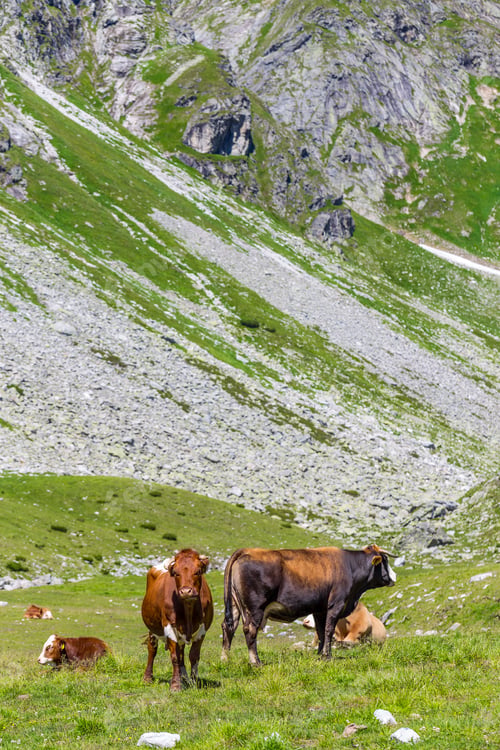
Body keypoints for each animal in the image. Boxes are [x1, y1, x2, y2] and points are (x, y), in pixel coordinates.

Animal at [141, 548, 214, 691]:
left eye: (198, 572)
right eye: (176, 573)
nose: (185, 591)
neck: (188, 607)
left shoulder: (202, 629)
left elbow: (193, 656)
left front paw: (193, 681)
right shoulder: (169, 627)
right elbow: (174, 657)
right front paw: (175, 684)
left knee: (181, 652)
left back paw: (184, 678)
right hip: (152, 628)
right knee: (152, 649)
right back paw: (148, 678)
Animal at [221, 544, 396, 665]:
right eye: (385, 561)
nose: (394, 576)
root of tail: (248, 551)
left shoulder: (319, 609)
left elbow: (320, 631)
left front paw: (319, 655)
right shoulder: (336, 604)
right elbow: (328, 630)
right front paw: (327, 656)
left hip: (236, 605)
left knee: (228, 626)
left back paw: (225, 659)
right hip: (255, 608)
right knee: (249, 630)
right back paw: (256, 662)